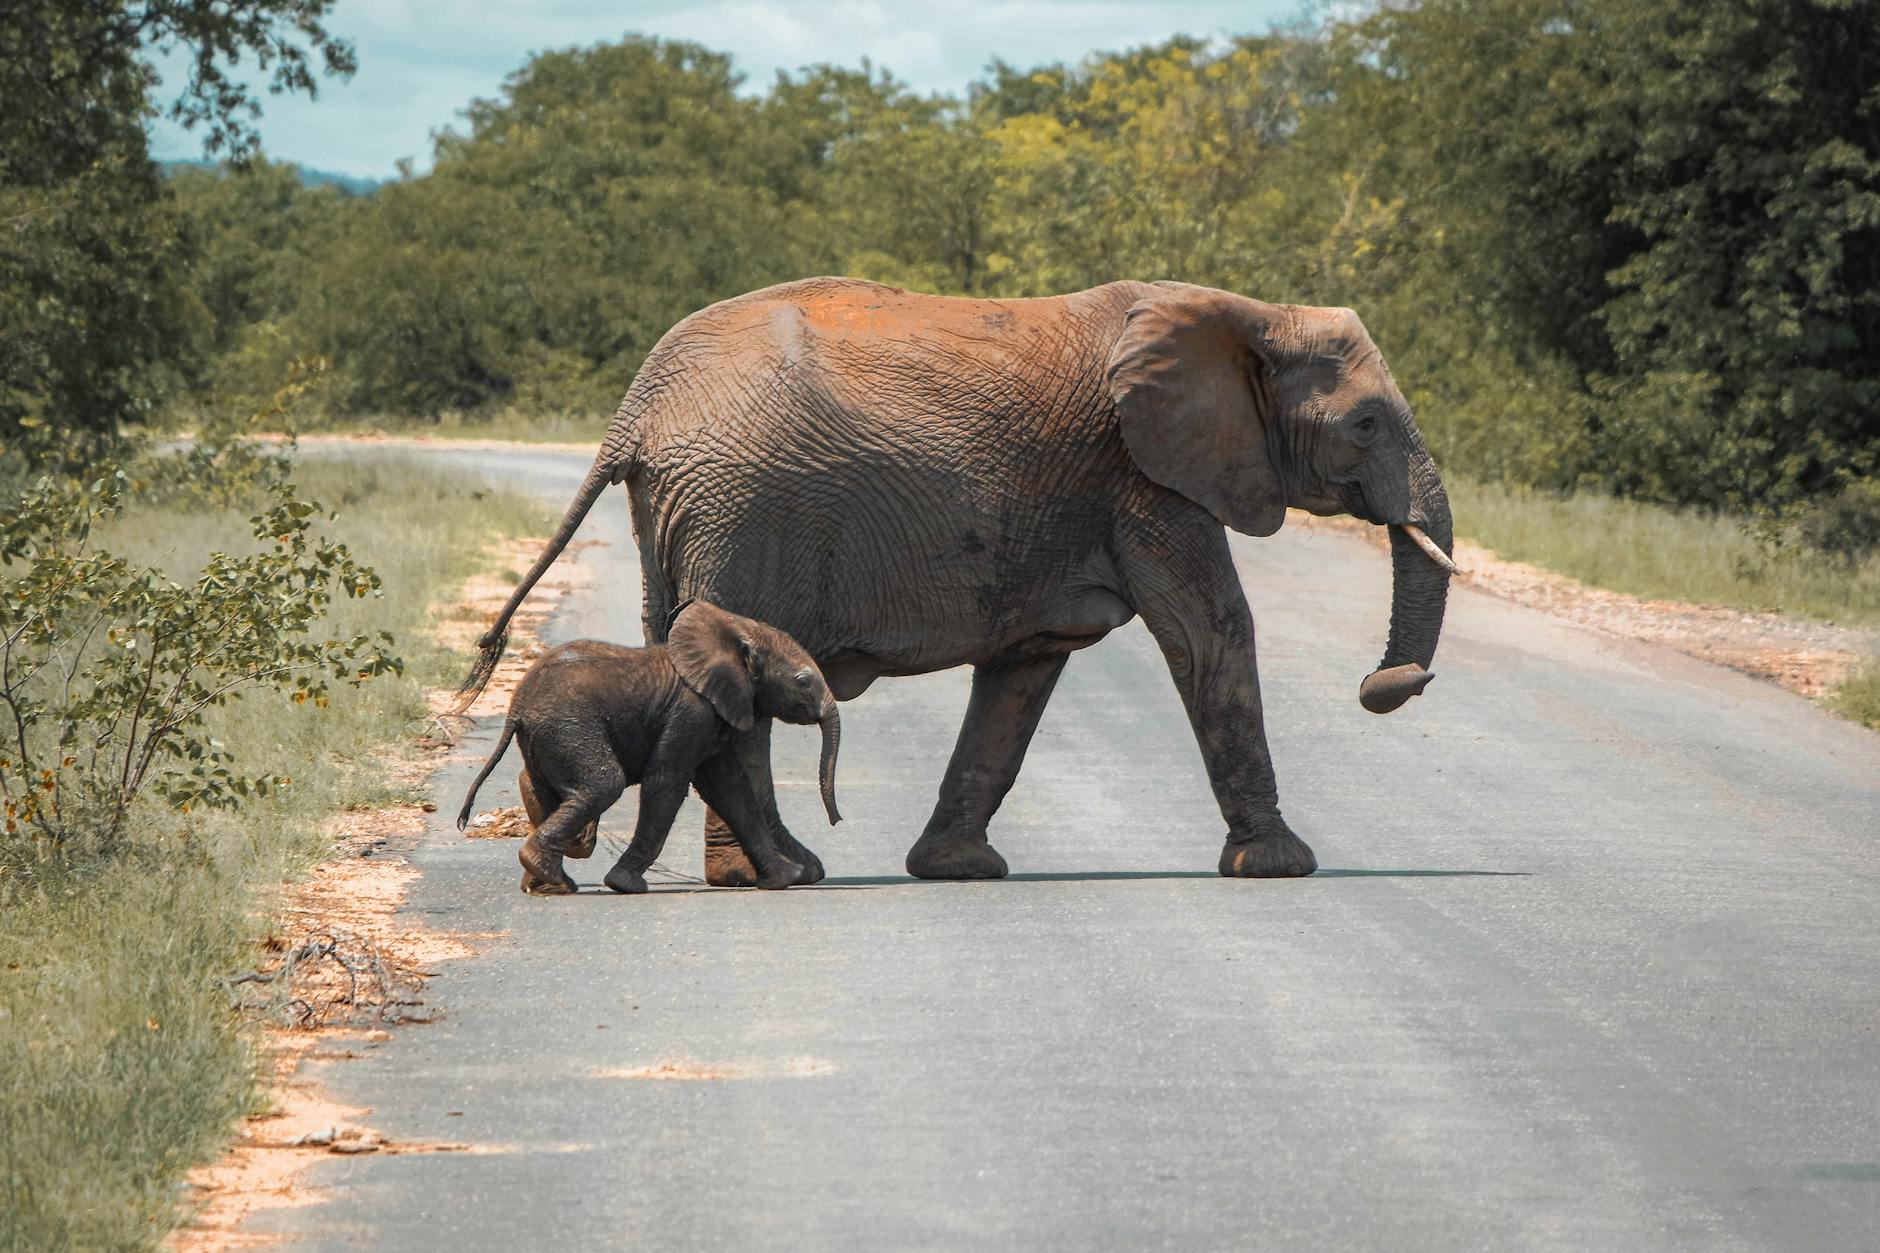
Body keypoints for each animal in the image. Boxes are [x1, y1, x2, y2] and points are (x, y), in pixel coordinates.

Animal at [456, 599, 843, 894]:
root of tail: (516, 706)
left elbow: (731, 789)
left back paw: (546, 882)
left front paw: (785, 878)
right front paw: (625, 884)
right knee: (603, 784)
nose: (837, 820)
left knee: (538, 786)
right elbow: (667, 783)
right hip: (568, 725)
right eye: (803, 682)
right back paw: (552, 875)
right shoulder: (691, 711)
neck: (735, 634)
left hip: (546, 736)